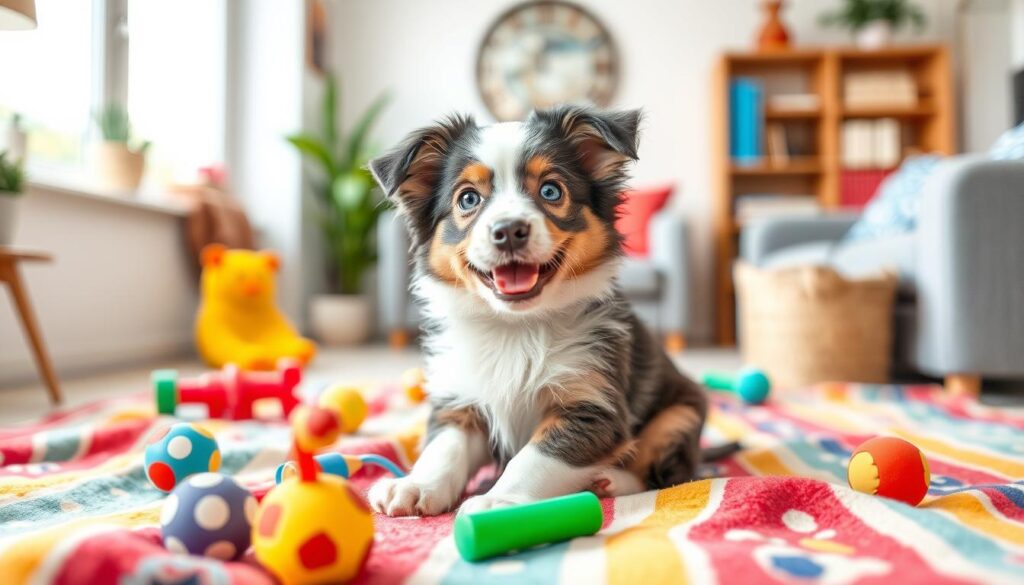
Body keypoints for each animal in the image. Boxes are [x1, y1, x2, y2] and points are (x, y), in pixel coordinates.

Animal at [368, 105, 712, 516]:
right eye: (468, 199)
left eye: (550, 191)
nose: (508, 230)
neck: (515, 326)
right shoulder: (460, 399)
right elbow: (443, 447)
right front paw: (415, 485)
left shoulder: (592, 405)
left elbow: (535, 458)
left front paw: (498, 501)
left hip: (679, 416)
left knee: (666, 473)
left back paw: (609, 482)